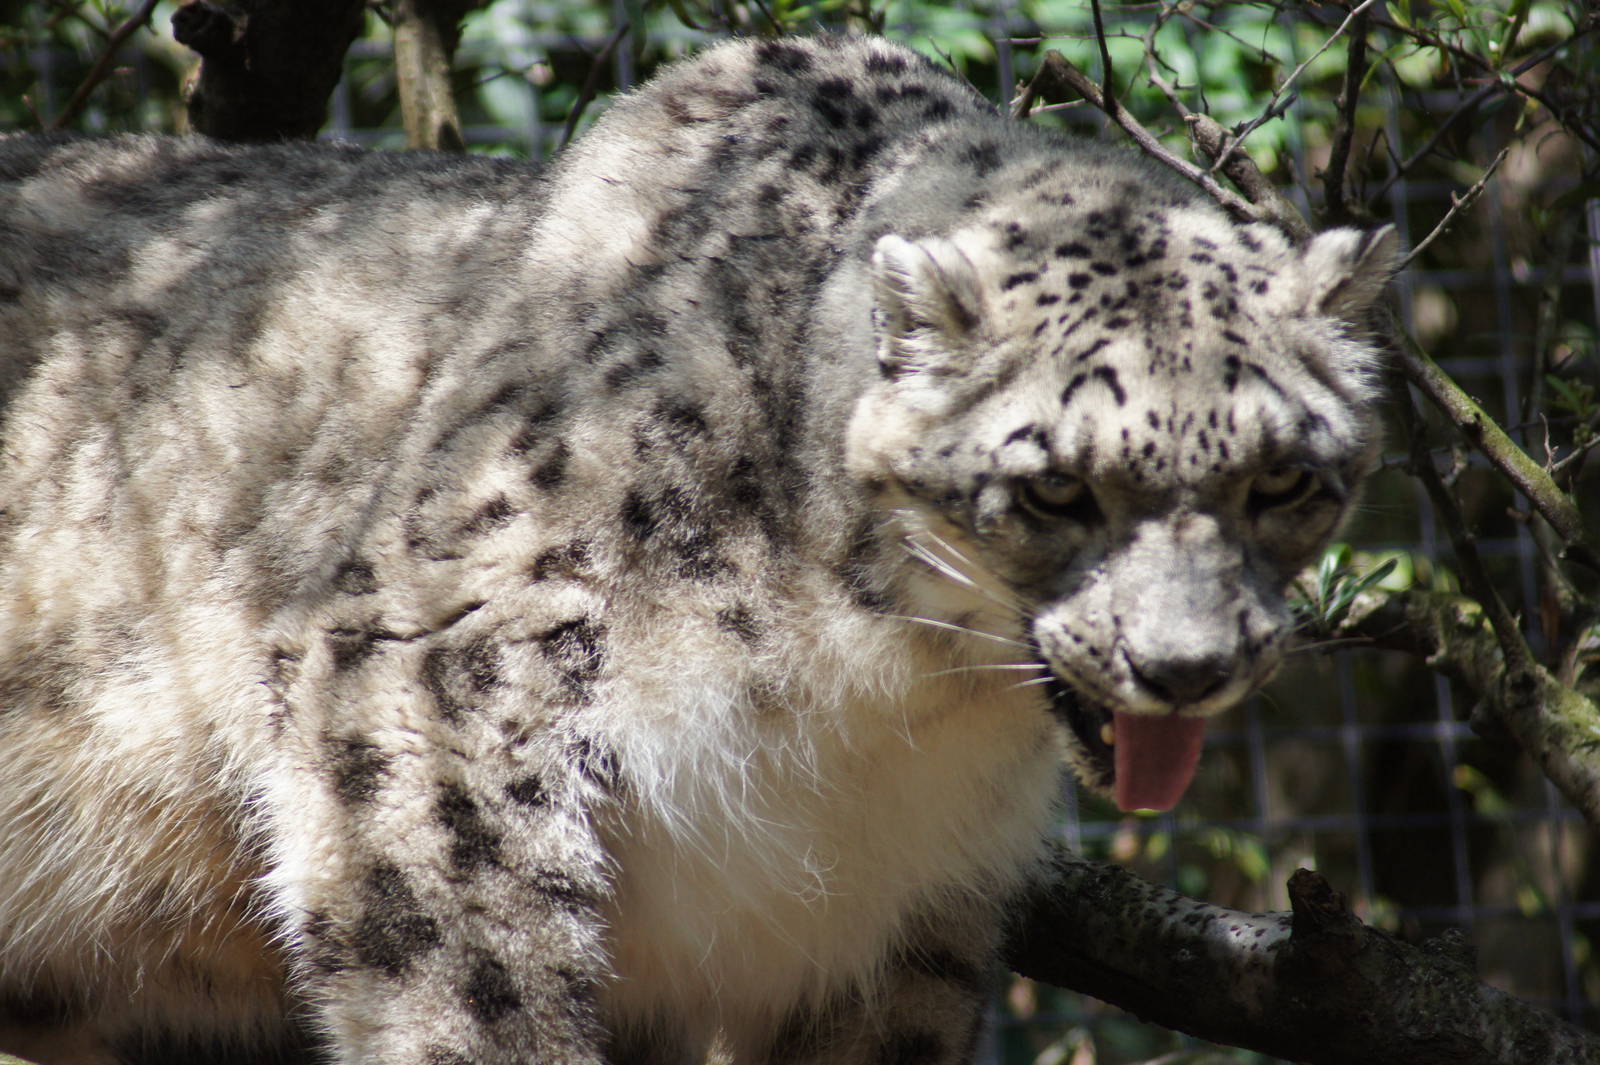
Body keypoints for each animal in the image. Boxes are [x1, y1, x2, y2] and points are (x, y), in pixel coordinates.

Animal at [0, 32, 1397, 1065]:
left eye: (1284, 479)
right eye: (1055, 490)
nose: (1186, 665)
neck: (888, 711)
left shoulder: (899, 925)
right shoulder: (440, 693)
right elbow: (475, 996)